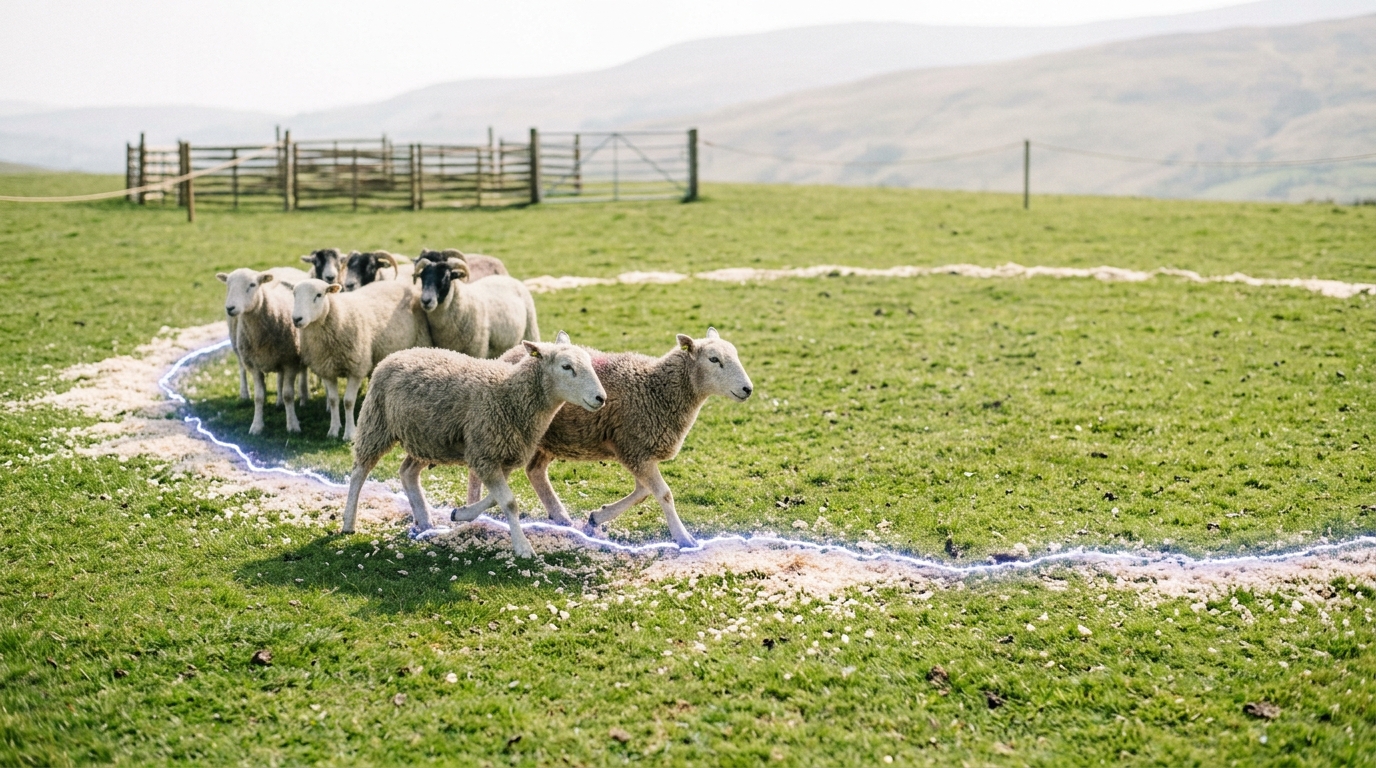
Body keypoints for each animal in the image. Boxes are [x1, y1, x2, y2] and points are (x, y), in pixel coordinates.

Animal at [216, 267, 310, 435]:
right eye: (228, 285)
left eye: (252, 285)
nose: (230, 308)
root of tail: (284, 268)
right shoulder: (254, 365)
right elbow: (259, 397)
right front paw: (256, 426)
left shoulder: (290, 361)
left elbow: (288, 395)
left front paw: (293, 425)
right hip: (239, 347)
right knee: (243, 369)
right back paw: (249, 395)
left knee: (302, 372)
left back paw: (303, 398)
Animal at [285, 277, 432, 440]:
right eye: (294, 294)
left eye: (319, 295)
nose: (296, 319)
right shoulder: (327, 369)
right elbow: (333, 400)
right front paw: (334, 430)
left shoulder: (356, 368)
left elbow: (348, 402)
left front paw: (349, 433)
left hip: (420, 344)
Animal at [340, 338, 607, 558]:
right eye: (566, 367)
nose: (601, 398)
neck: (510, 395)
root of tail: (399, 353)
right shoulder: (485, 454)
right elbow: (509, 502)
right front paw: (523, 548)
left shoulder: (501, 456)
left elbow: (494, 500)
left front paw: (460, 514)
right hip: (377, 423)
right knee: (359, 472)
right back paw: (348, 523)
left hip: (426, 438)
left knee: (407, 472)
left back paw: (425, 522)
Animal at [487, 327, 753, 548]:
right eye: (714, 359)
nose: (748, 389)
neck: (656, 389)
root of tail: (508, 354)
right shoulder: (634, 449)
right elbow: (663, 494)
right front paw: (684, 538)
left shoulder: (637, 451)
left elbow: (643, 492)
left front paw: (598, 517)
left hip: (550, 439)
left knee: (535, 471)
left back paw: (560, 516)